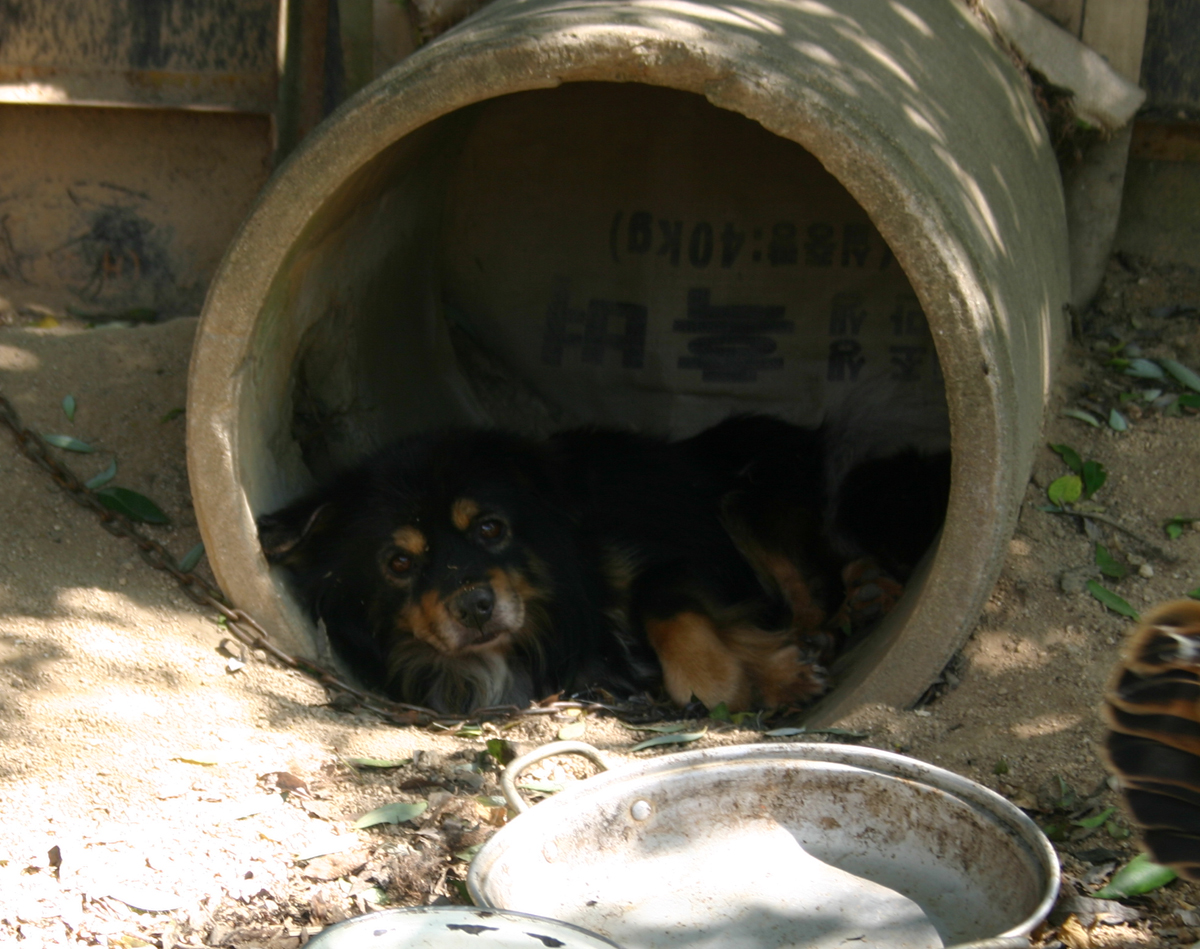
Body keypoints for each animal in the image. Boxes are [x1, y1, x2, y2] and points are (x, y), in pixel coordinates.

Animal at [258, 419, 950, 715]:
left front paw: (752, 675)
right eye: (400, 562)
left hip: (743, 499)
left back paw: (855, 605)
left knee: (821, 579)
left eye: (490, 528)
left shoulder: (677, 558)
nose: (476, 605)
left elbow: (663, 608)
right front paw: (776, 669)